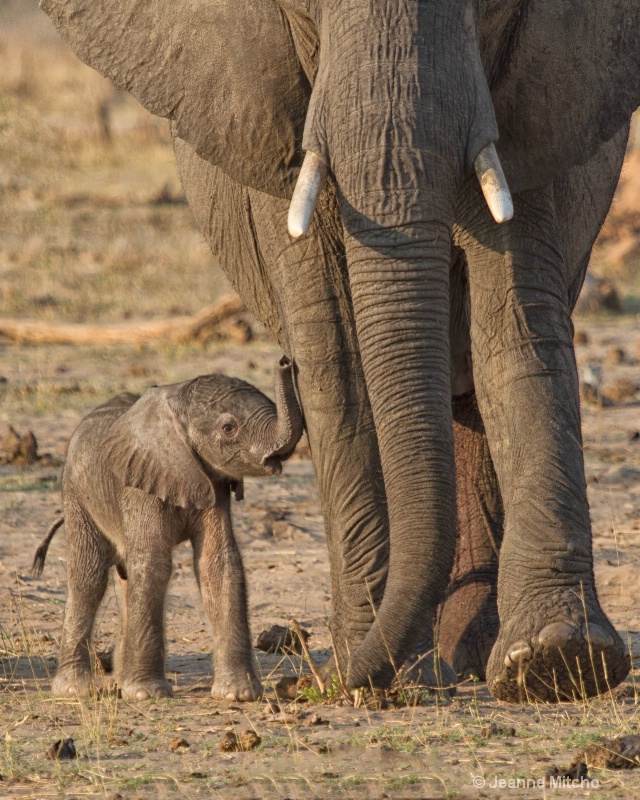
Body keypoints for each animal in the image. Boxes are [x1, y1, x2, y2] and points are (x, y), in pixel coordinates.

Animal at [33, 356, 304, 700]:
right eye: (228, 428)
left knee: (124, 575)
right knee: (88, 576)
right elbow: (154, 563)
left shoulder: (212, 479)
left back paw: (117, 681)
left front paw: (238, 695)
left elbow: (218, 563)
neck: (178, 399)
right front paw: (146, 694)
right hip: (76, 492)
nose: (285, 361)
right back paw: (75, 689)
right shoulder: (138, 483)